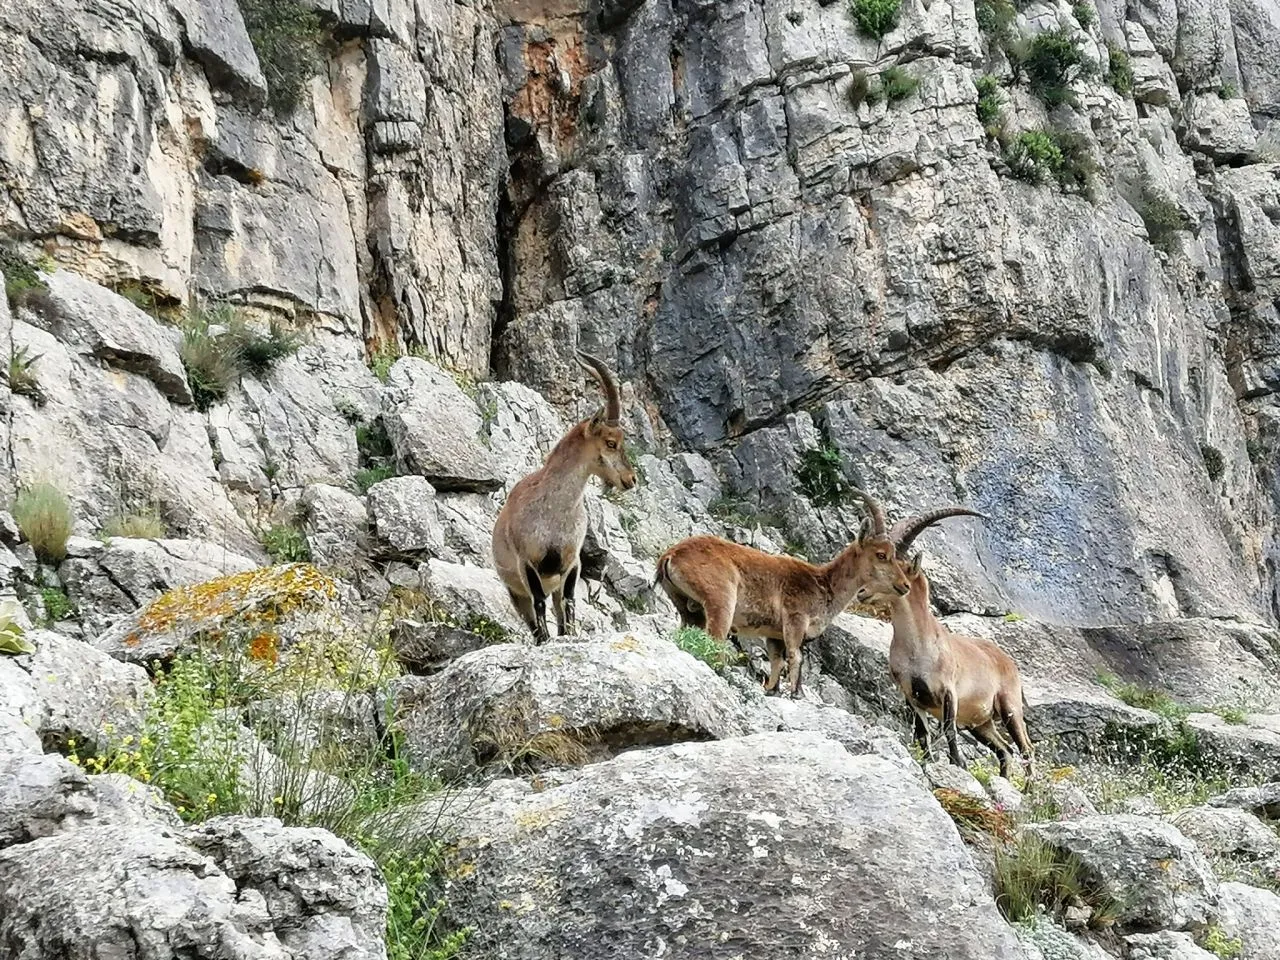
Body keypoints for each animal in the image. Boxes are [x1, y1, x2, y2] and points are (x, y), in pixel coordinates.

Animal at [492, 351, 636, 643]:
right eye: (611, 442)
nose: (631, 479)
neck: (554, 513)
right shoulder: (528, 563)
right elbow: (539, 604)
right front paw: (547, 642)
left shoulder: (571, 563)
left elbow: (569, 606)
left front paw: (568, 637)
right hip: (515, 591)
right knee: (532, 619)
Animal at [655, 491, 911, 698]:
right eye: (881, 554)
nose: (905, 585)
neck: (824, 584)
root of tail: (671, 556)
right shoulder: (795, 619)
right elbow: (796, 656)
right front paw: (796, 694)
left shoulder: (774, 635)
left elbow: (776, 661)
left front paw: (773, 690)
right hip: (721, 601)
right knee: (715, 640)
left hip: (688, 608)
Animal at [873, 507, 1034, 780]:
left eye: (898, 566)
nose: (863, 591)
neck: (917, 647)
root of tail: (1007, 660)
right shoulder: (912, 695)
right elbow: (922, 733)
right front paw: (927, 761)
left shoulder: (949, 691)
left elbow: (948, 728)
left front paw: (957, 763)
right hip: (981, 723)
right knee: (1004, 749)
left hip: (1009, 706)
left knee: (1025, 748)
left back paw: (1027, 787)